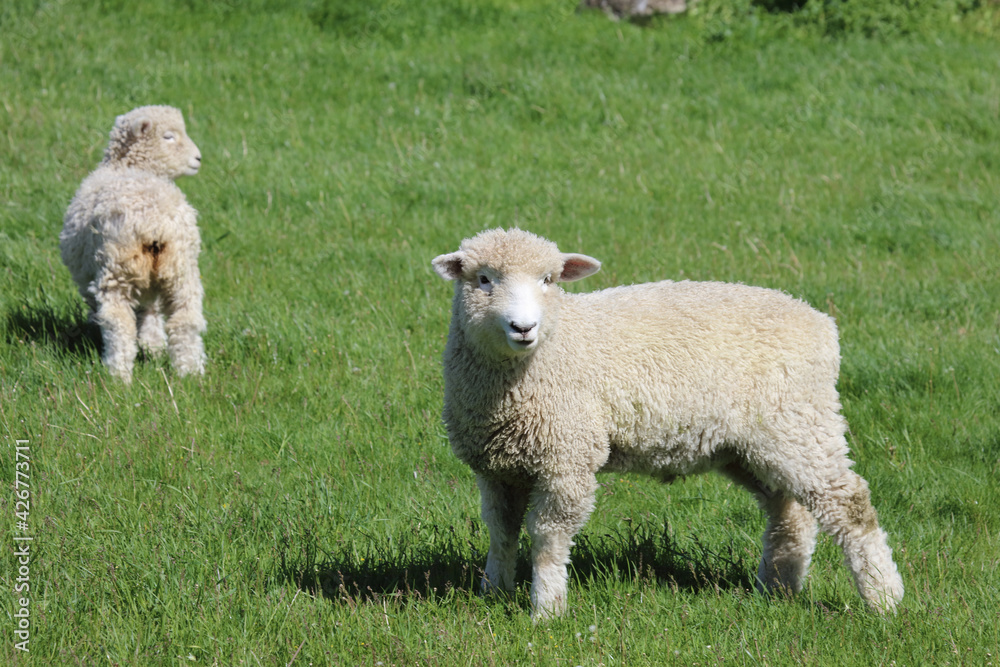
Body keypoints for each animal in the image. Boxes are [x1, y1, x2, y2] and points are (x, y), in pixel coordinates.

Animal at [60, 105, 207, 383]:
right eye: (168, 136)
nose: (198, 159)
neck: (126, 166)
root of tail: (155, 222)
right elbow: (150, 314)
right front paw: (154, 346)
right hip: (181, 268)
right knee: (185, 318)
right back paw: (190, 372)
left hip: (117, 268)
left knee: (119, 321)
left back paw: (118, 374)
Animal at [432, 227, 904, 620]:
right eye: (483, 279)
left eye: (549, 279)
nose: (523, 327)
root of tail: (821, 323)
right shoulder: (496, 467)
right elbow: (501, 530)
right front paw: (493, 590)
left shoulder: (568, 459)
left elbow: (548, 538)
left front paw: (546, 609)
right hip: (751, 445)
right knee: (789, 512)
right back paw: (778, 589)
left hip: (801, 424)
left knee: (850, 505)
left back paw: (883, 597)